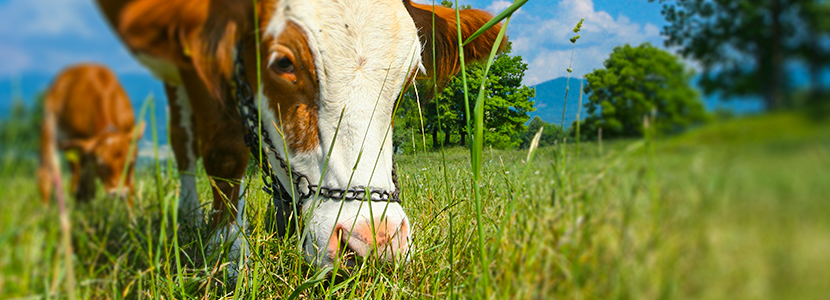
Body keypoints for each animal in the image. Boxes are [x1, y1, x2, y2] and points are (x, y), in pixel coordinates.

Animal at [37, 63, 145, 206]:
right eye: (102, 165)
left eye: (130, 163)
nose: (119, 194)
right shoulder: (82, 147)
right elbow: (84, 185)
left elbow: (131, 187)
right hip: (49, 129)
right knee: (46, 173)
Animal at [94, 0, 504, 274]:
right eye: (283, 63)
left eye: (411, 75)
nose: (373, 242)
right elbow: (224, 151)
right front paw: (227, 248)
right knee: (182, 138)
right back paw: (191, 214)